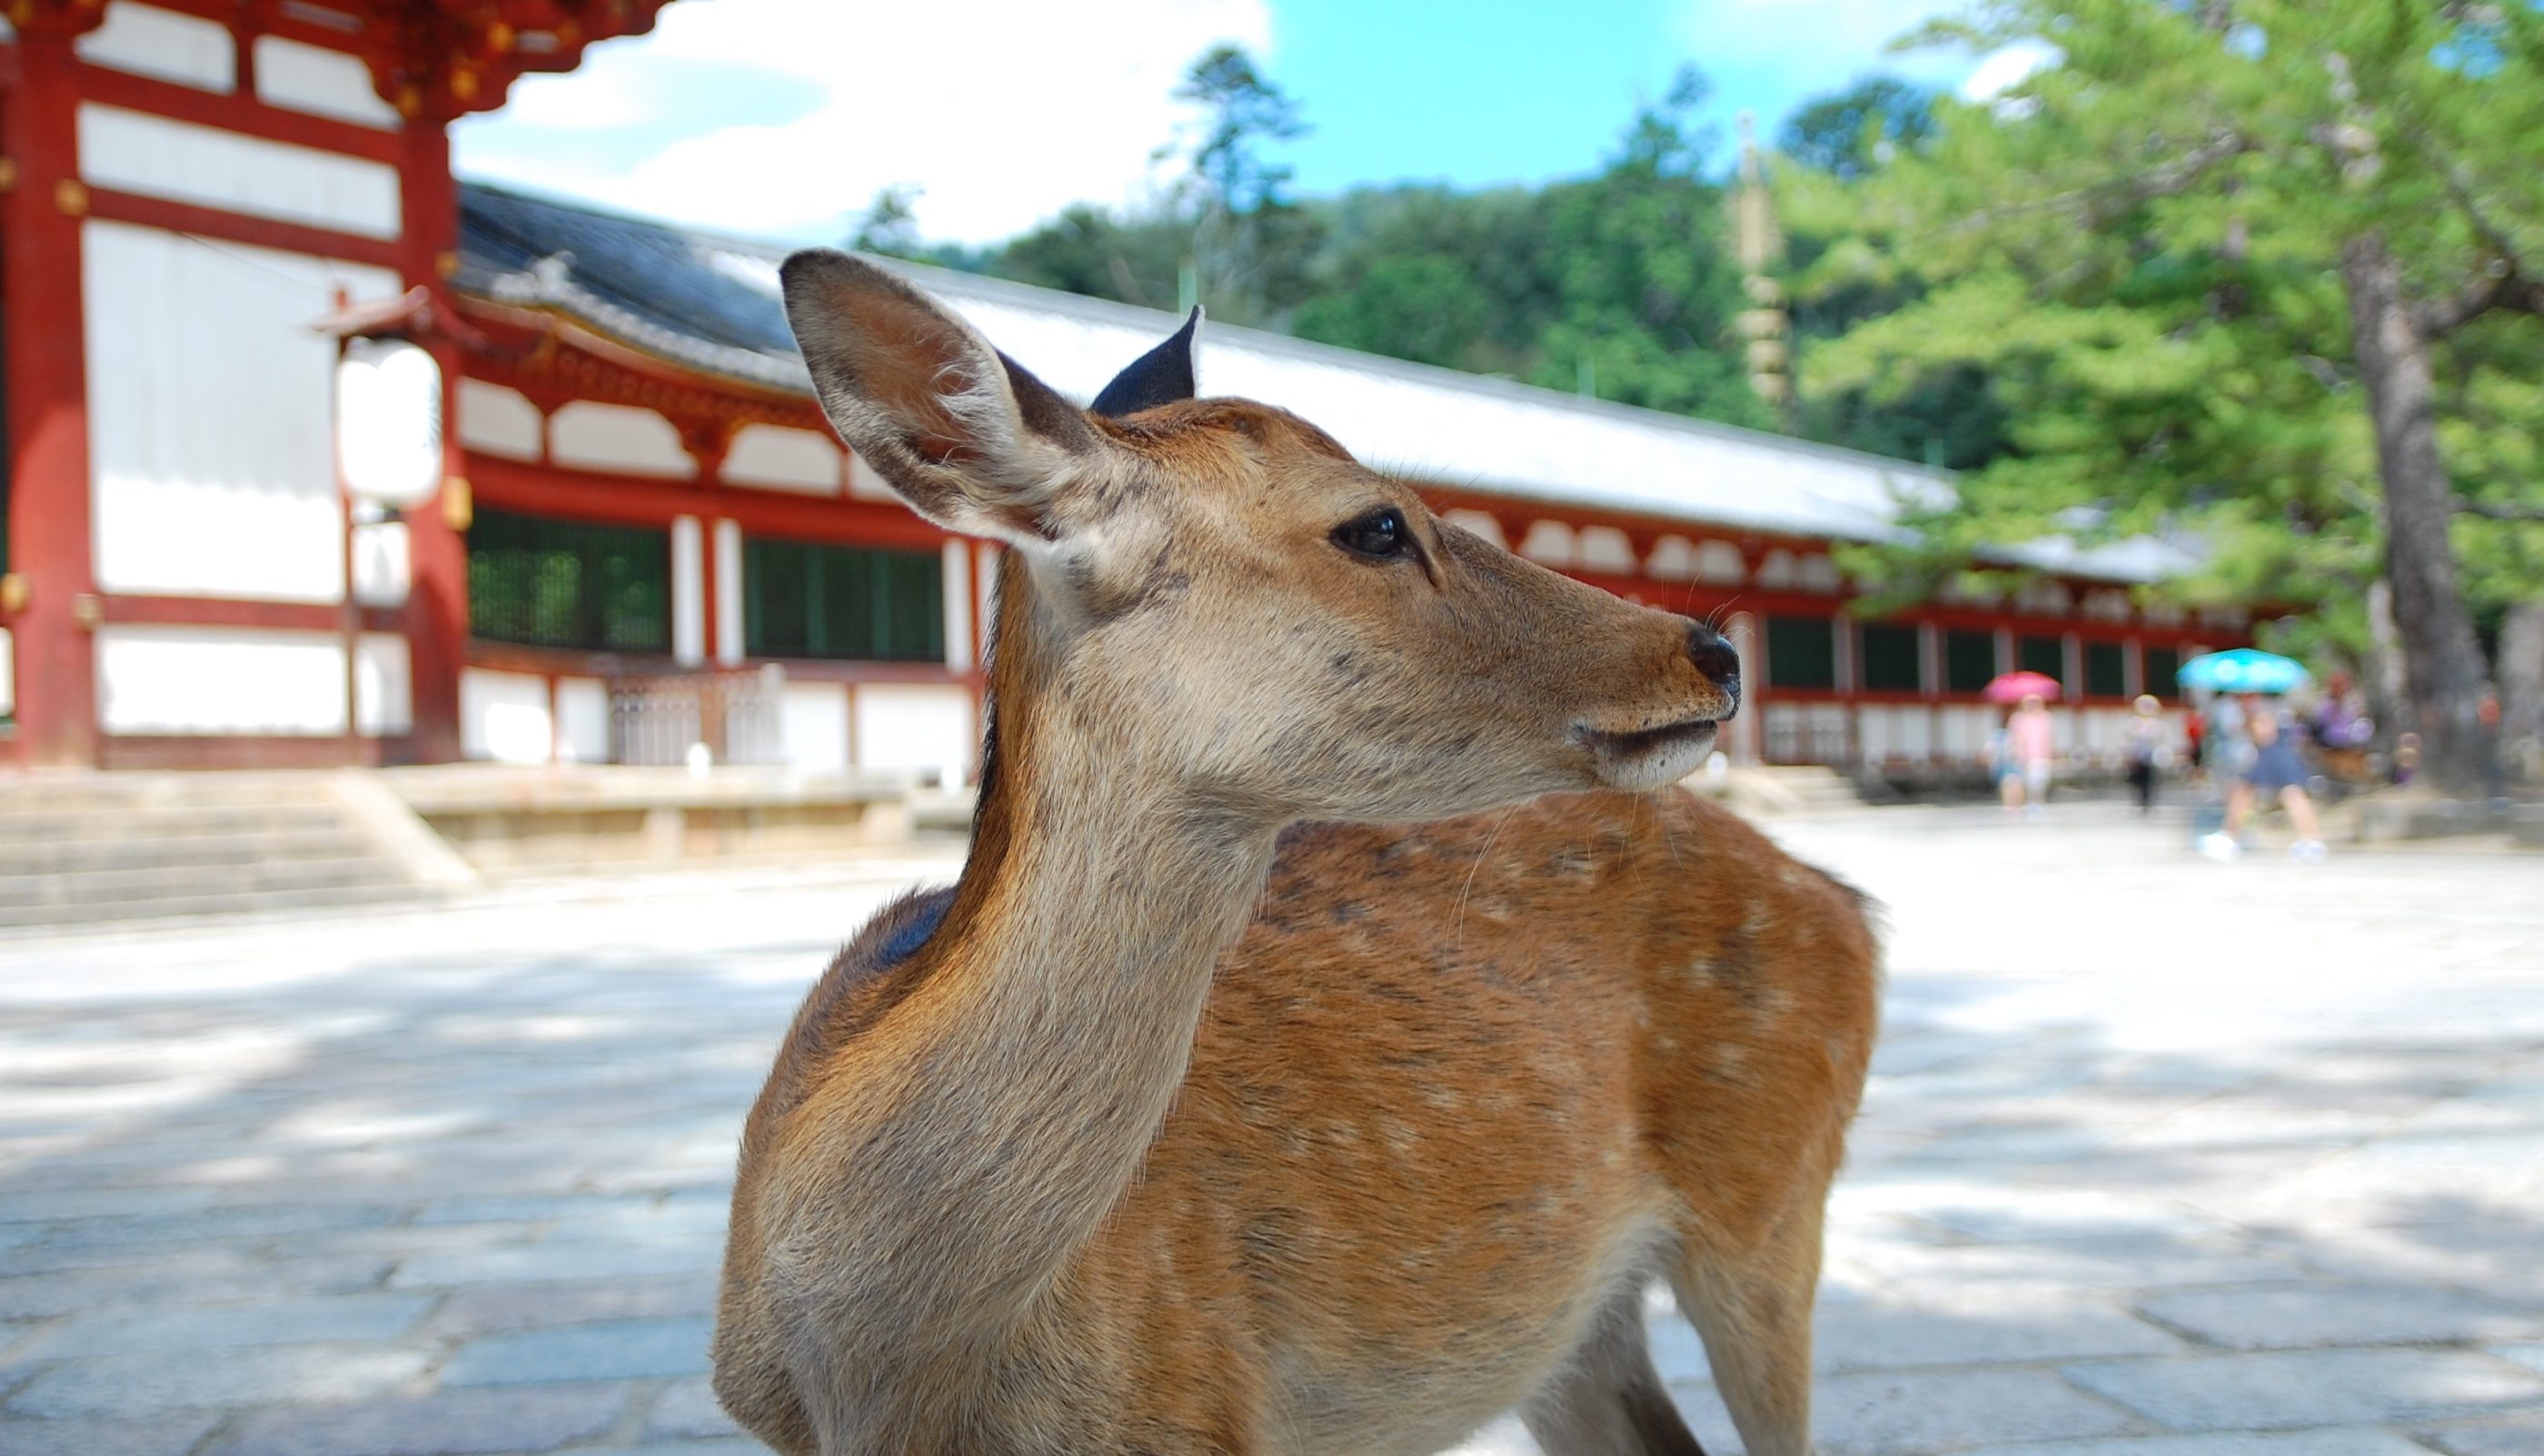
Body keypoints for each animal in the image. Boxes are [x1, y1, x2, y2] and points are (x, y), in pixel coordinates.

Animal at [707, 253, 1883, 1456]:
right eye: (1374, 526)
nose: (1713, 652)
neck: (896, 1379)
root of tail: (1847, 901)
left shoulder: (1199, 1405)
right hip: (1572, 1323)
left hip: (1771, 1202)